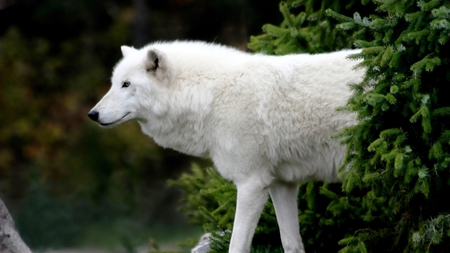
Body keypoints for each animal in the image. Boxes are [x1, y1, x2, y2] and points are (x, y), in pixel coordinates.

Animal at [89, 41, 366, 253]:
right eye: (113, 83)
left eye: (126, 84)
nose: (92, 114)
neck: (211, 96)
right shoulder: (281, 183)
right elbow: (291, 243)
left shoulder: (251, 184)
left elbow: (237, 246)